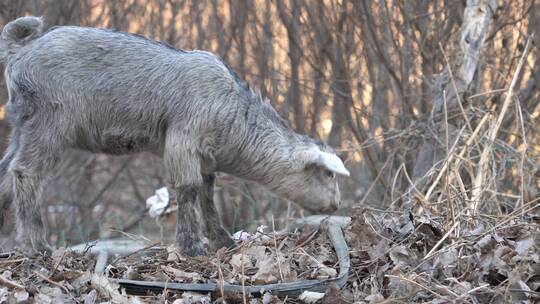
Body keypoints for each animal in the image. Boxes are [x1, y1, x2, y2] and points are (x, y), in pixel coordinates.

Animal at [0, 16, 350, 254]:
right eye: (329, 175)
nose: (337, 205)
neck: (234, 117)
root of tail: (21, 50)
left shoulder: (205, 155)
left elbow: (207, 194)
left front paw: (221, 240)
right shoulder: (183, 140)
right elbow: (188, 188)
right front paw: (190, 246)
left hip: (22, 124)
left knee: (6, 173)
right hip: (49, 122)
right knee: (26, 172)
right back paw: (38, 244)